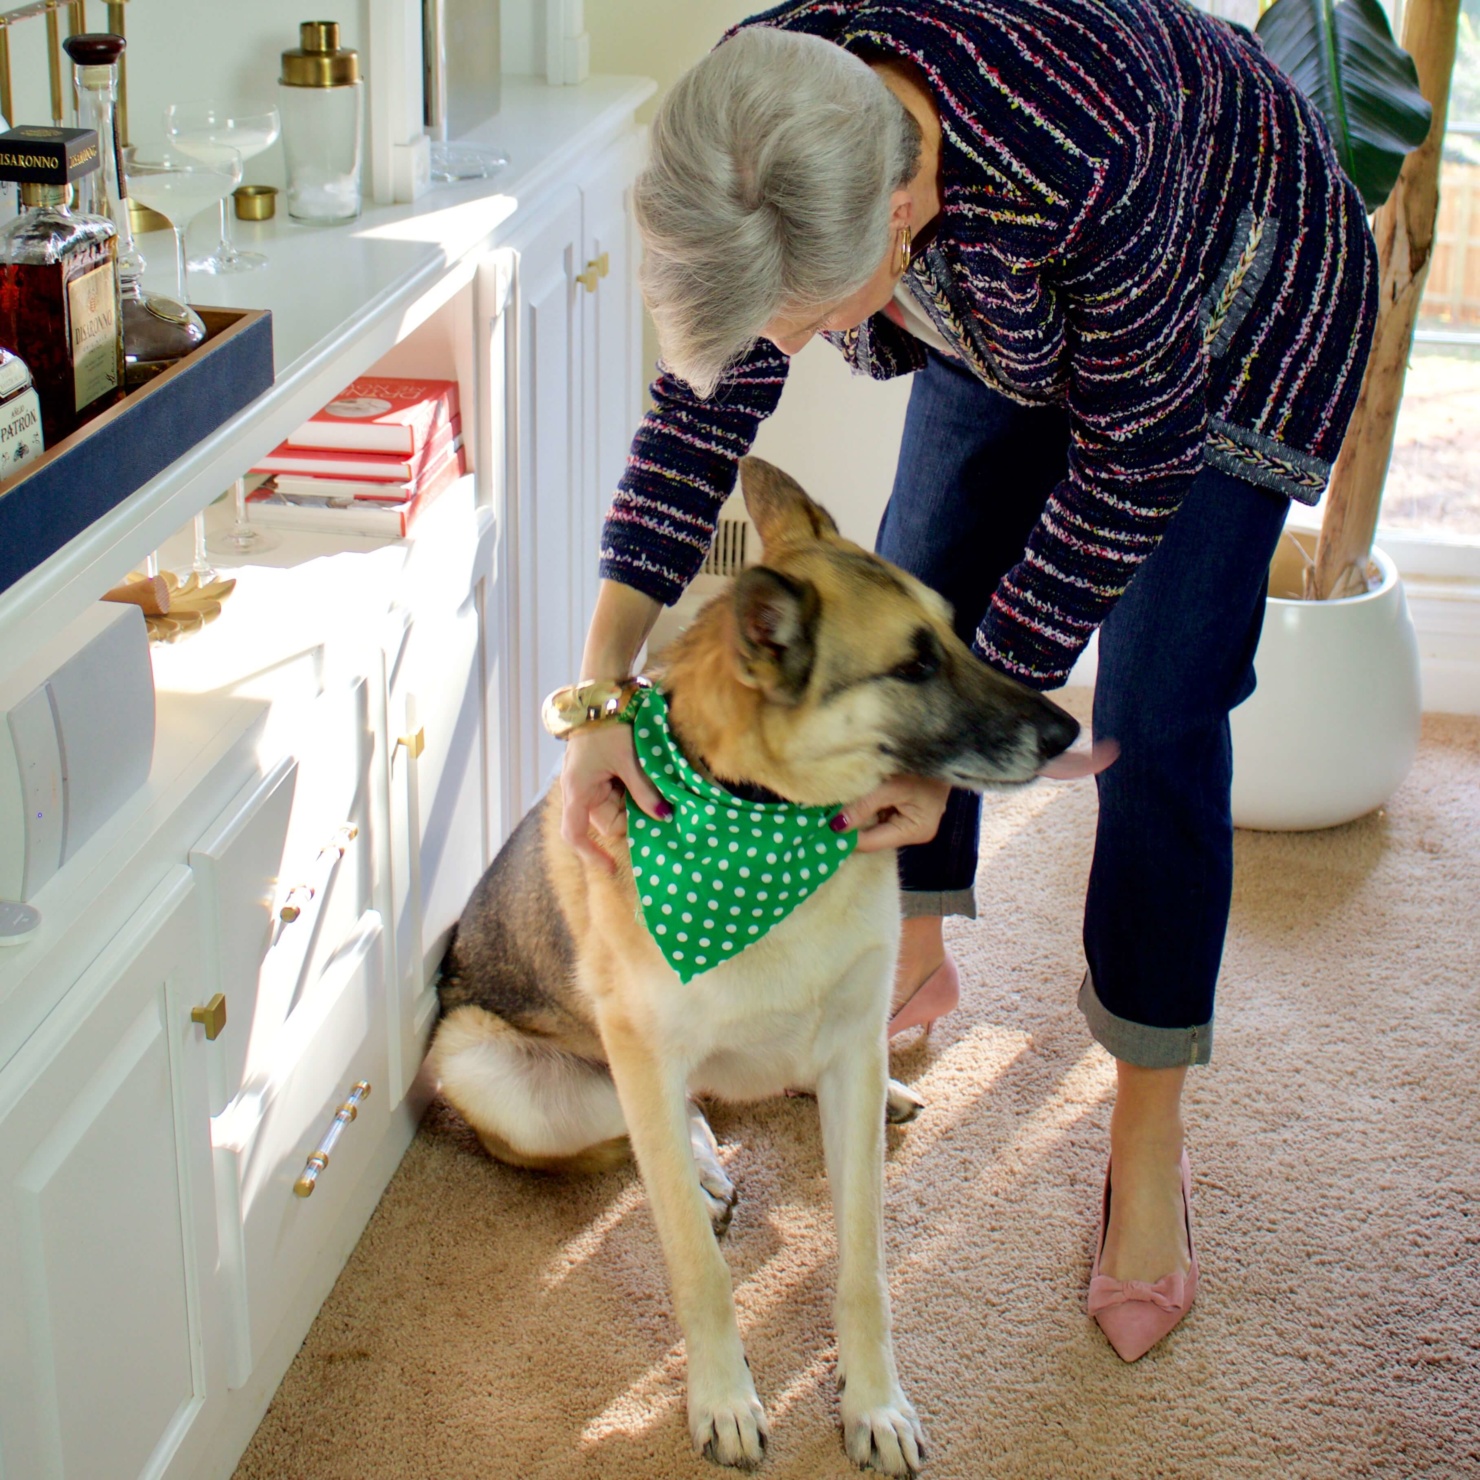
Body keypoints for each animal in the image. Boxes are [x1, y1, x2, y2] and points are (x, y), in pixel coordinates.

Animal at [429, 455, 1077, 1474]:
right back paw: (700, 1173)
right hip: (485, 1068)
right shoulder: (648, 1059)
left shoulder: (849, 1042)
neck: (766, 825)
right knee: (652, 1130)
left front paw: (875, 1403)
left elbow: (865, 1264)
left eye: (951, 635)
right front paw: (725, 1398)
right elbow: (698, 1266)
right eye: (913, 664)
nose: (1064, 734)